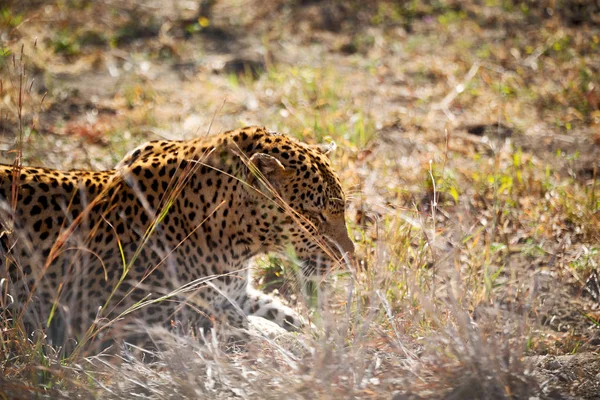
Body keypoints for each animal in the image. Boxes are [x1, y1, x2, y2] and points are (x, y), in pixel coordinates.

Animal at [0, 126, 354, 350]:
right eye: (315, 216)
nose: (347, 255)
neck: (241, 242)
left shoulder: (232, 293)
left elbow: (280, 311)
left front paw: (319, 334)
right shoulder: (139, 322)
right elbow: (243, 328)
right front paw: (295, 344)